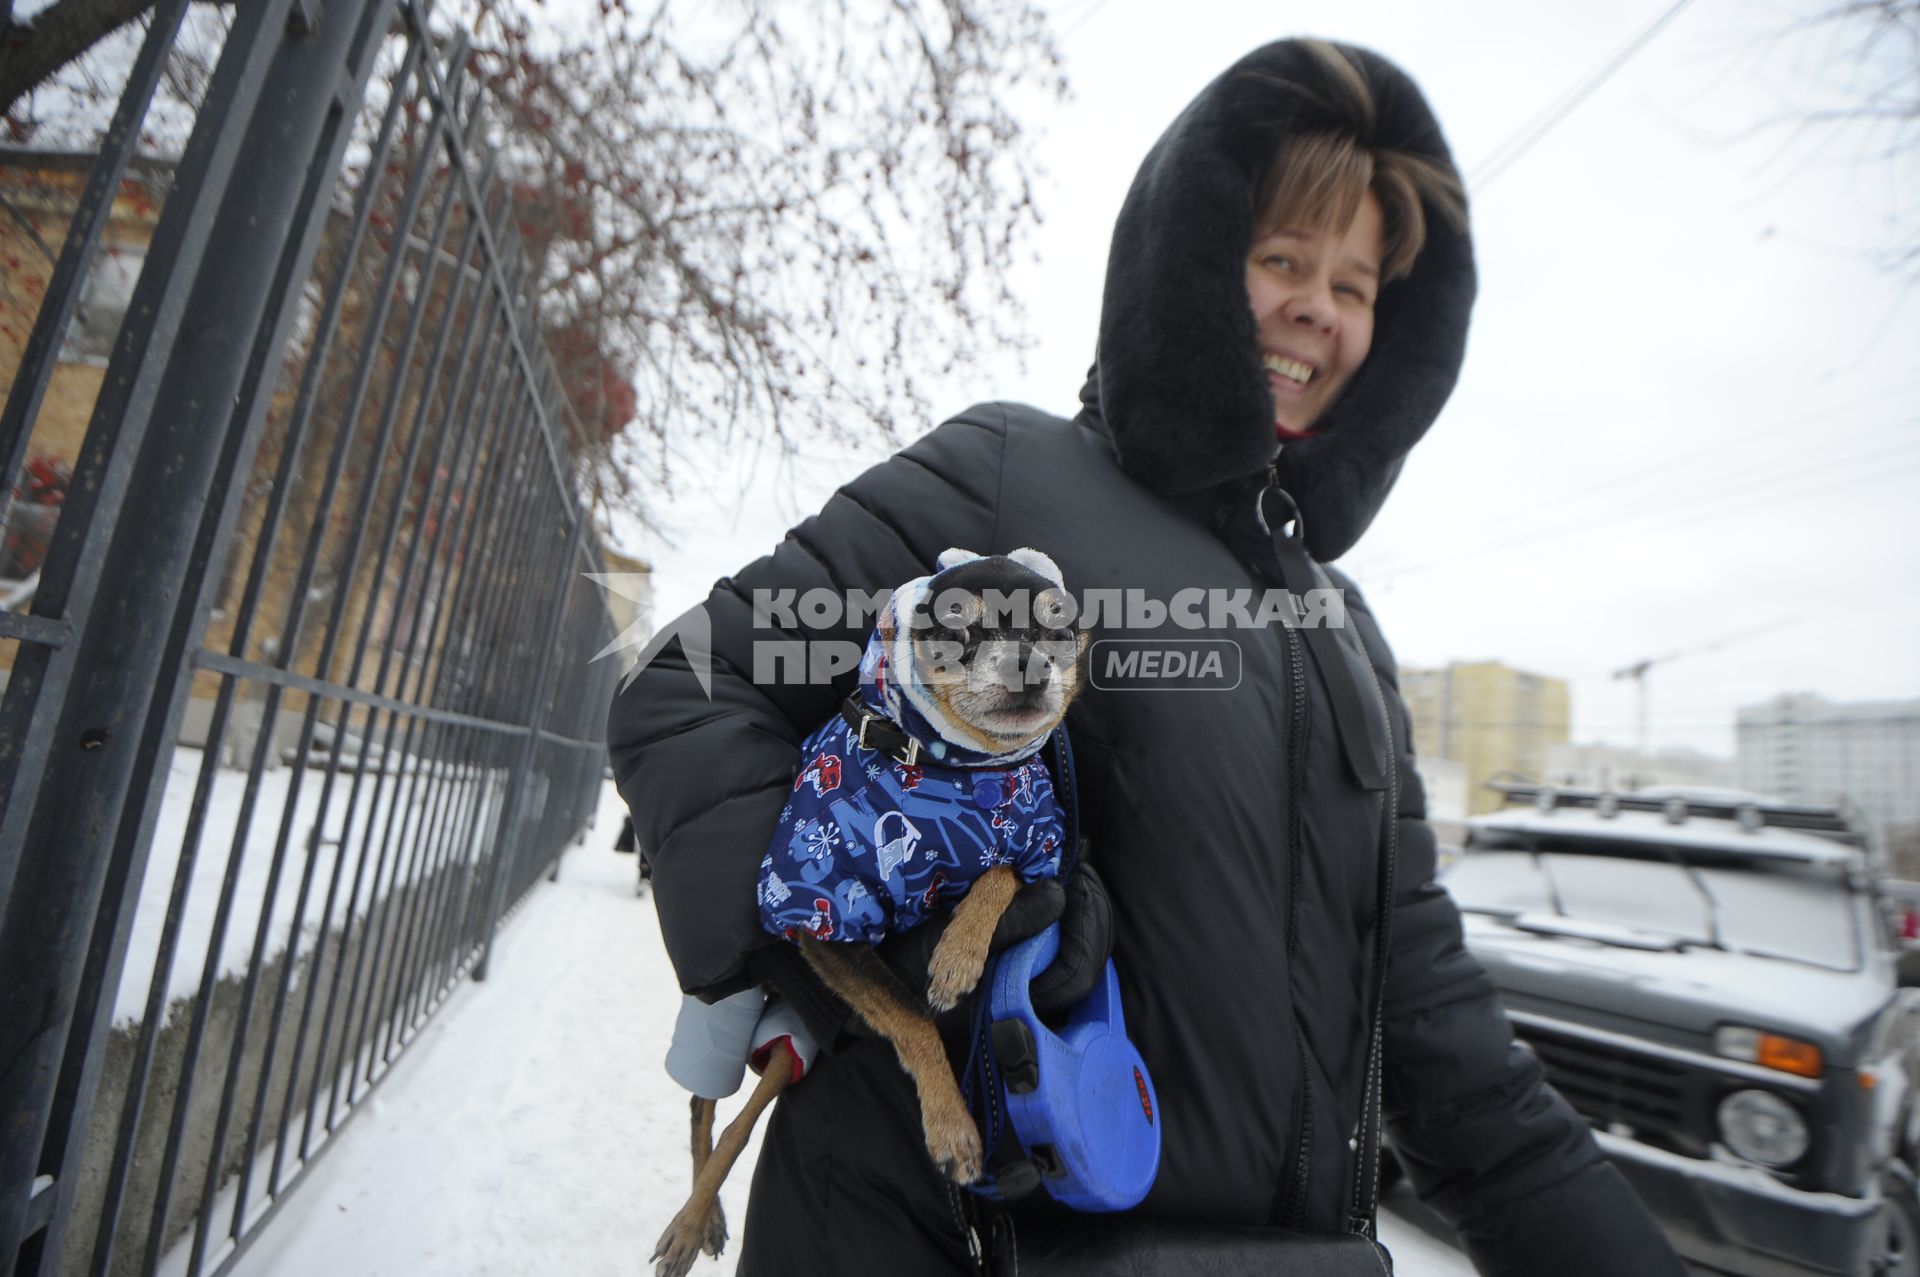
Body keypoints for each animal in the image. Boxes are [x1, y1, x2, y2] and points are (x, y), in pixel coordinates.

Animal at [652, 545, 1082, 1275]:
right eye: (960, 622)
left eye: (1060, 628)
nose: (1030, 663)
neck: (958, 776)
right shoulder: (822, 926)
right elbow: (911, 1017)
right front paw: (952, 1129)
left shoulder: (1030, 844)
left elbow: (996, 875)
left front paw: (958, 955)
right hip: (733, 1007)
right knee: (708, 1111)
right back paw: (692, 1220)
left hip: (793, 1039)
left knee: (742, 1111)